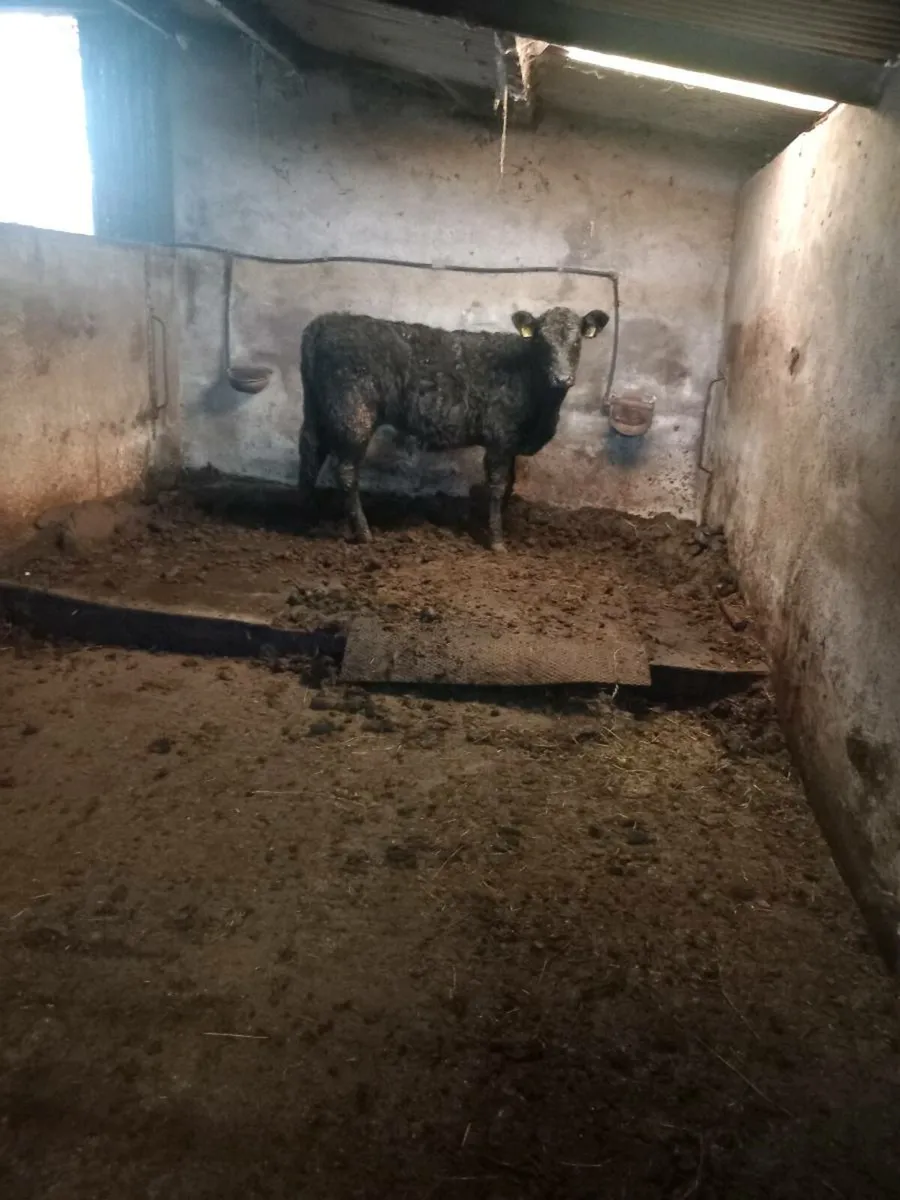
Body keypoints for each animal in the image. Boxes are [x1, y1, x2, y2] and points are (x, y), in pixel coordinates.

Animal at [298, 305, 610, 551]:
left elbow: (510, 484)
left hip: (319, 409)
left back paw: (309, 518)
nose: (562, 378)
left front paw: (493, 523)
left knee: (310, 452)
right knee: (346, 471)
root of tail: (324, 322)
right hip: (353, 414)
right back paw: (363, 532)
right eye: (542, 342)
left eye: (577, 342)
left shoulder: (510, 443)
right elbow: (498, 486)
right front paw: (496, 540)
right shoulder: (499, 438)